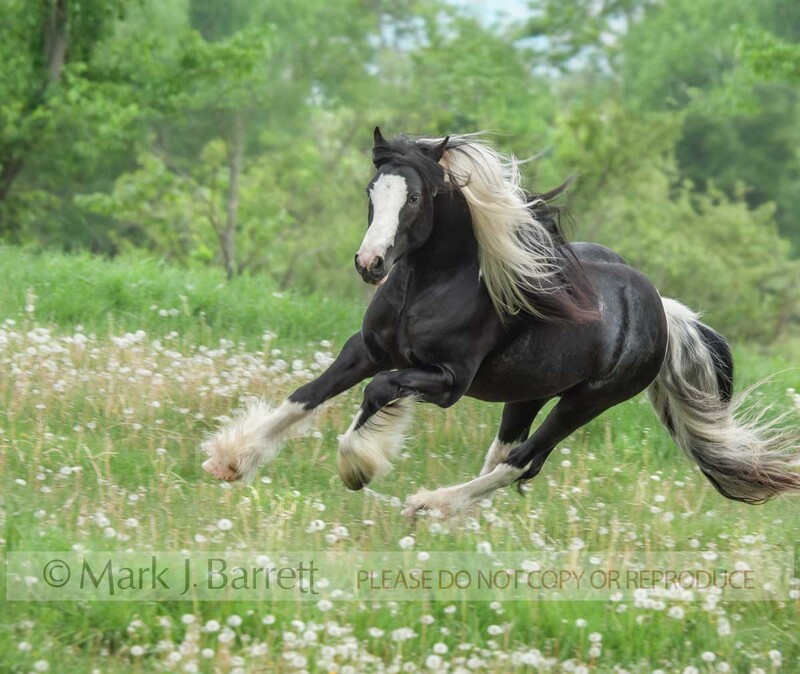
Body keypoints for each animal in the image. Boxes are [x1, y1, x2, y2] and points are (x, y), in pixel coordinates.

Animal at [201, 127, 800, 518]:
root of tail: (663, 312)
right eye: (372, 193)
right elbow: (308, 395)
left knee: (524, 462)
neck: (431, 284)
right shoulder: (367, 348)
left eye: (414, 196)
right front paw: (231, 459)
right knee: (505, 455)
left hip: (586, 401)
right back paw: (459, 516)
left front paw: (359, 466)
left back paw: (430, 506)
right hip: (528, 390)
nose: (370, 264)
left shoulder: (445, 381)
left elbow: (378, 393)